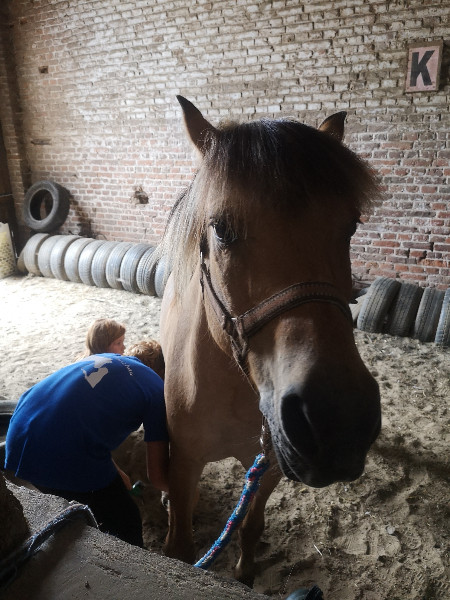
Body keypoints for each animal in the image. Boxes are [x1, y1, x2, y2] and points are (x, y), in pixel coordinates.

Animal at [156, 96, 382, 584]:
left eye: (351, 226)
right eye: (222, 230)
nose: (338, 422)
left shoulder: (270, 465)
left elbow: (250, 526)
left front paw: (244, 571)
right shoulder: (185, 465)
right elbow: (179, 542)